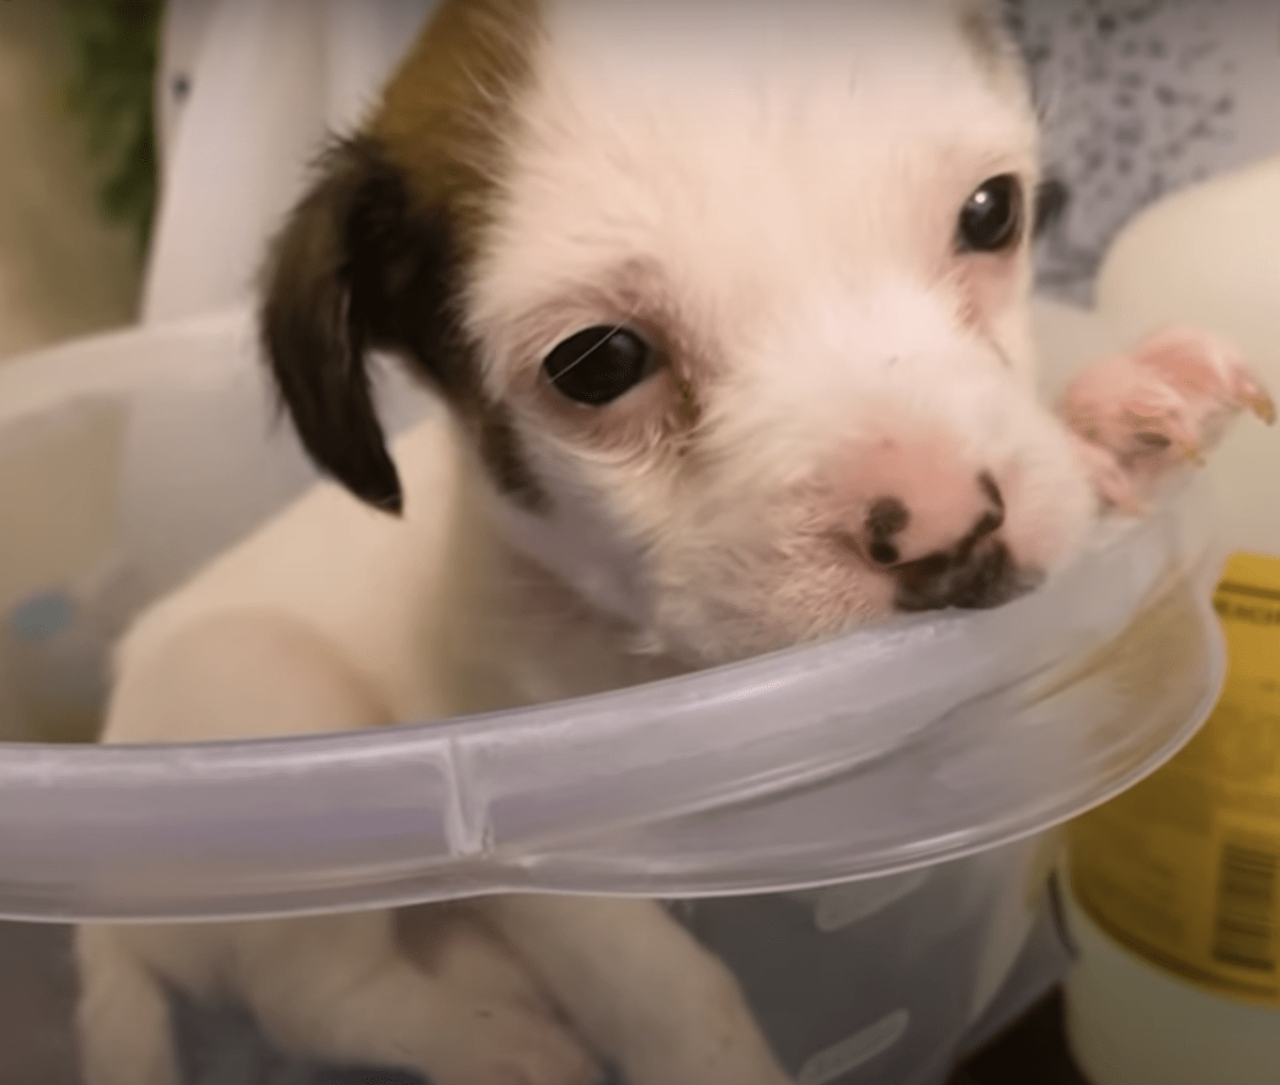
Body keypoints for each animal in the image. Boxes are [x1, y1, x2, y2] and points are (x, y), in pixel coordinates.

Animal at [77, 2, 1269, 1085]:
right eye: (598, 362)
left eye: (991, 212)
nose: (948, 530)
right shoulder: (538, 855)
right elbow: (658, 981)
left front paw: (1109, 426)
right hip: (261, 696)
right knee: (318, 995)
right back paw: (491, 1041)